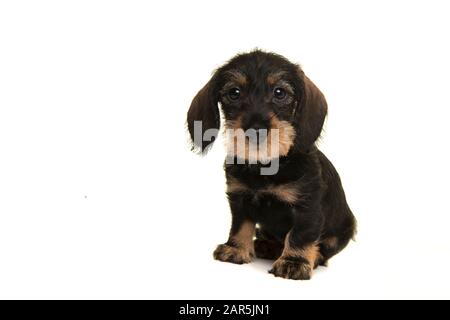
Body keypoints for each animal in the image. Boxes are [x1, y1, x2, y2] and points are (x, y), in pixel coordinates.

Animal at [185, 50, 356, 280]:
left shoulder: (307, 206)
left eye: (279, 92)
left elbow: (301, 234)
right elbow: (240, 225)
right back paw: (266, 245)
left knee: (325, 248)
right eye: (234, 92)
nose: (256, 130)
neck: (265, 167)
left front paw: (294, 262)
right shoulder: (239, 198)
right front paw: (236, 249)